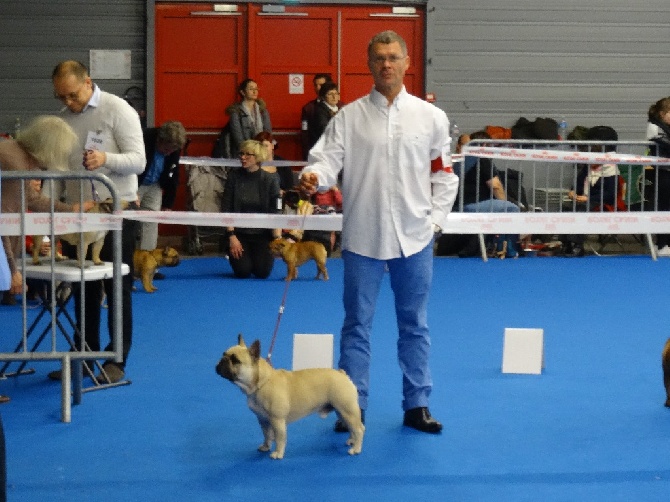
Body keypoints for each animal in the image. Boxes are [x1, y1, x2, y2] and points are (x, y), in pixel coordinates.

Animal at [215, 336, 364, 460]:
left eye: (235, 360)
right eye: (224, 354)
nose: (221, 361)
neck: (261, 383)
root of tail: (343, 374)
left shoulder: (277, 420)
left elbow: (280, 438)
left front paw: (278, 453)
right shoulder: (262, 419)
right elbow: (267, 435)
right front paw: (266, 447)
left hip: (347, 410)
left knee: (359, 429)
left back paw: (356, 449)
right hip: (342, 411)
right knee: (352, 427)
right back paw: (352, 441)